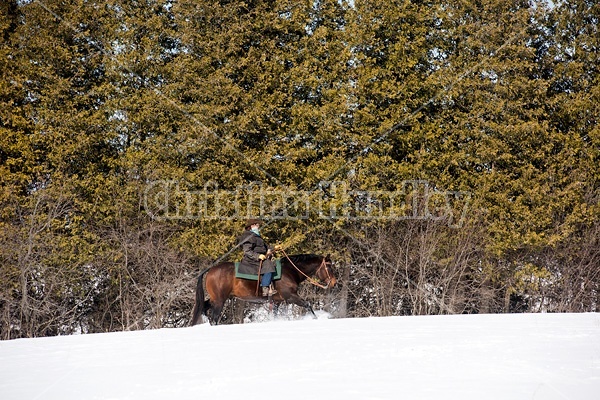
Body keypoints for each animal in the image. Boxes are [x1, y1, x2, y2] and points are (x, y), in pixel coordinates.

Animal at [190, 255, 336, 326]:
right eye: (329, 267)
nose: (334, 283)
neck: (289, 271)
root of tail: (210, 270)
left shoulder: (277, 302)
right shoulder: (291, 297)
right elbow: (308, 305)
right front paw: (315, 318)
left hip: (215, 299)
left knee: (204, 307)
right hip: (220, 301)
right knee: (214, 318)